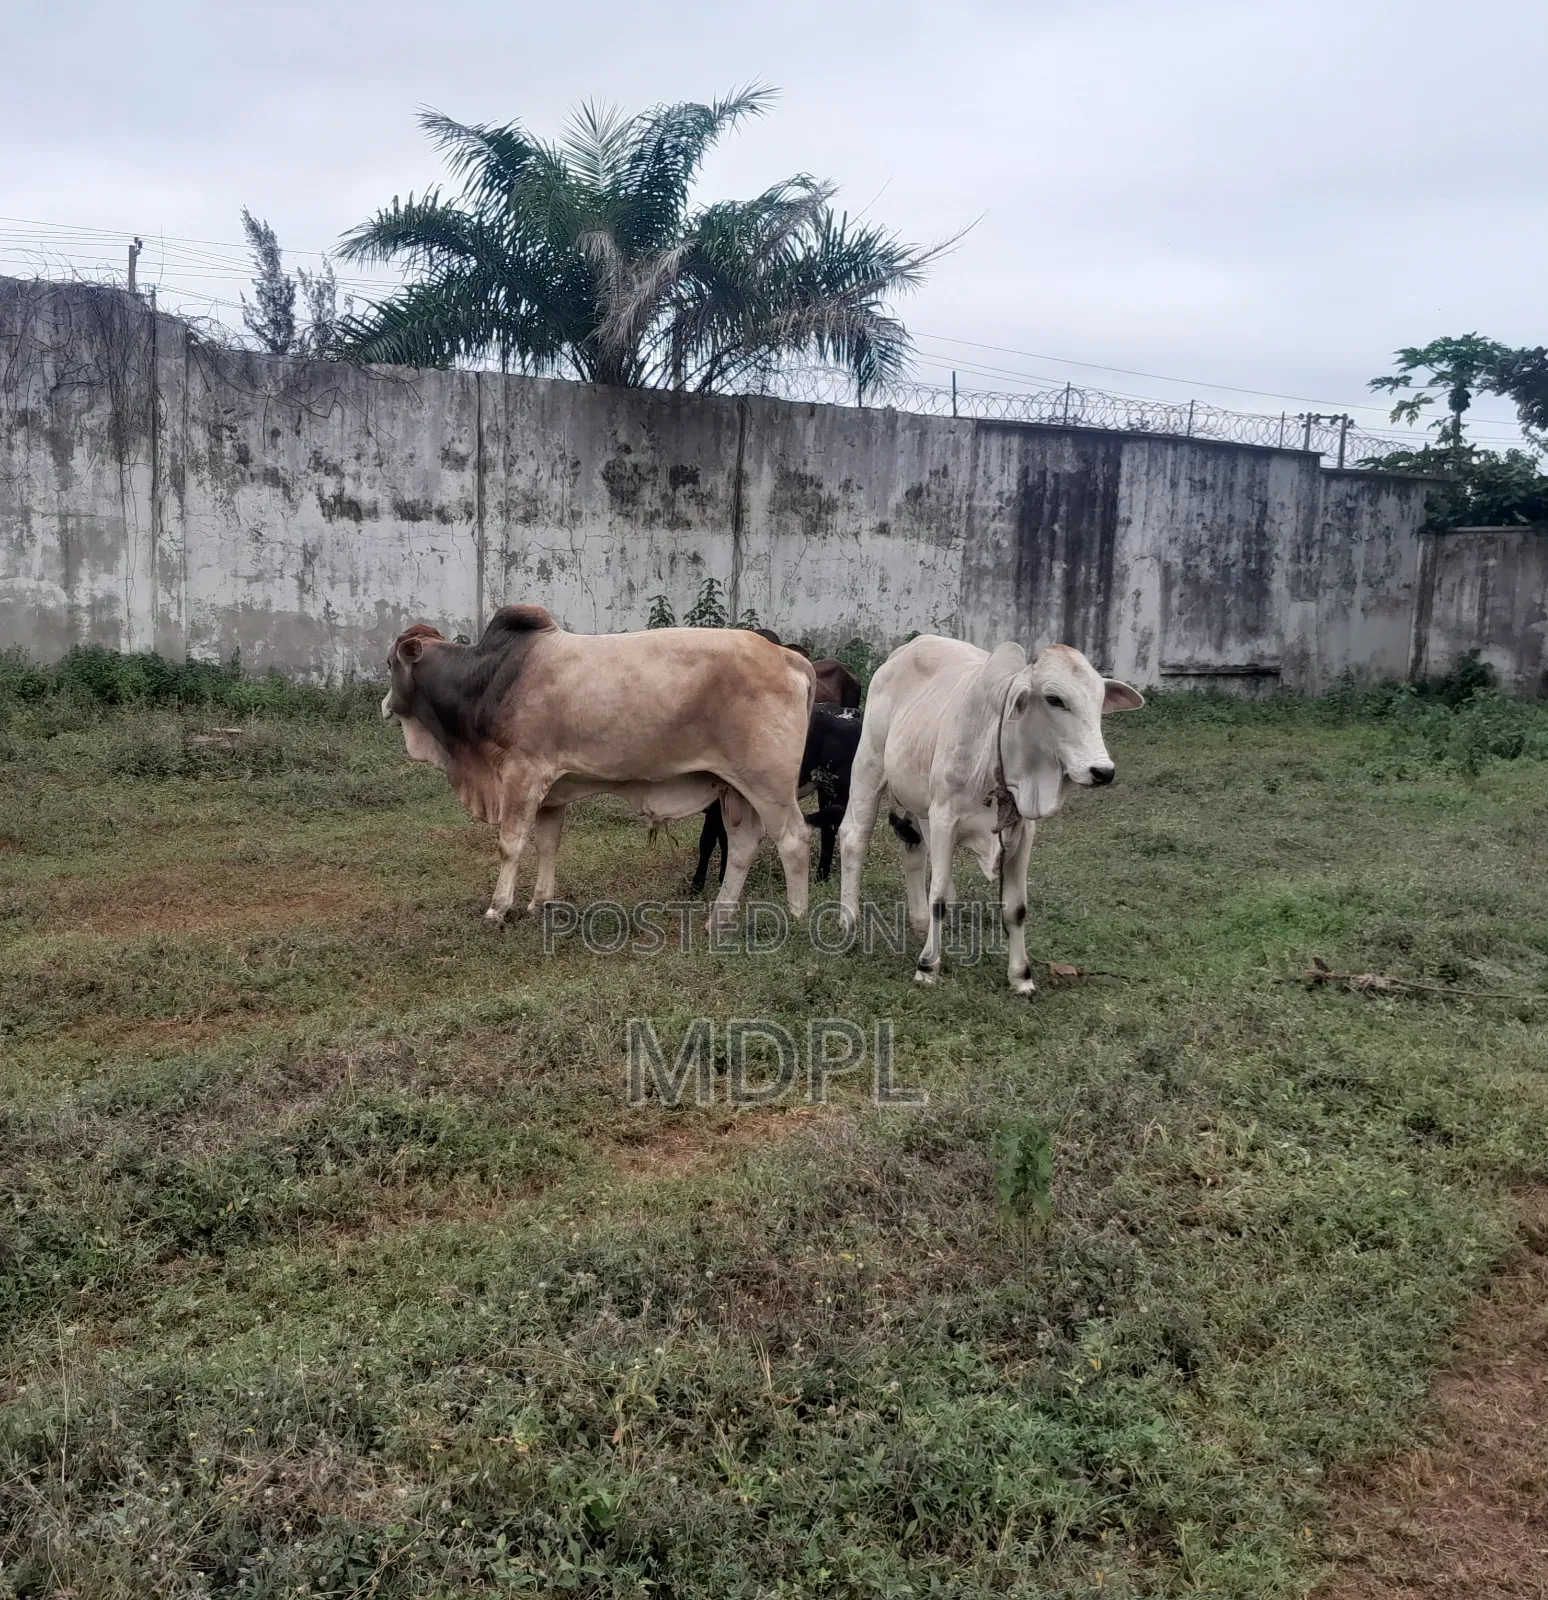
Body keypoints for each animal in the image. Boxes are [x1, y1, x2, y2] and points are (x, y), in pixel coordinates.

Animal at [381, 606, 815, 926]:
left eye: (389, 664)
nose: (385, 705)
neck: (489, 679)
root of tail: (789, 657)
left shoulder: (522, 776)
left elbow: (510, 844)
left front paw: (498, 908)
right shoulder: (552, 793)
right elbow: (547, 844)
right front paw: (540, 903)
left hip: (769, 785)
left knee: (794, 840)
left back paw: (796, 919)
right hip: (735, 788)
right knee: (743, 846)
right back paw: (718, 920)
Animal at [693, 705, 862, 891]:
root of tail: (852, 713)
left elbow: (708, 840)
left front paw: (698, 884)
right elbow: (723, 840)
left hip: (839, 789)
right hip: (825, 789)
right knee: (828, 831)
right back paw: (820, 878)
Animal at [837, 636, 1143, 993]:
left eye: (1099, 700)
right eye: (1054, 699)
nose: (1102, 771)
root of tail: (906, 648)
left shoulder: (1022, 831)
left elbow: (1016, 907)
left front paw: (1021, 976)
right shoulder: (944, 818)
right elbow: (939, 897)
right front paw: (927, 966)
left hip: (918, 798)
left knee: (913, 848)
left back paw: (919, 922)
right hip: (869, 765)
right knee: (855, 838)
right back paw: (849, 921)